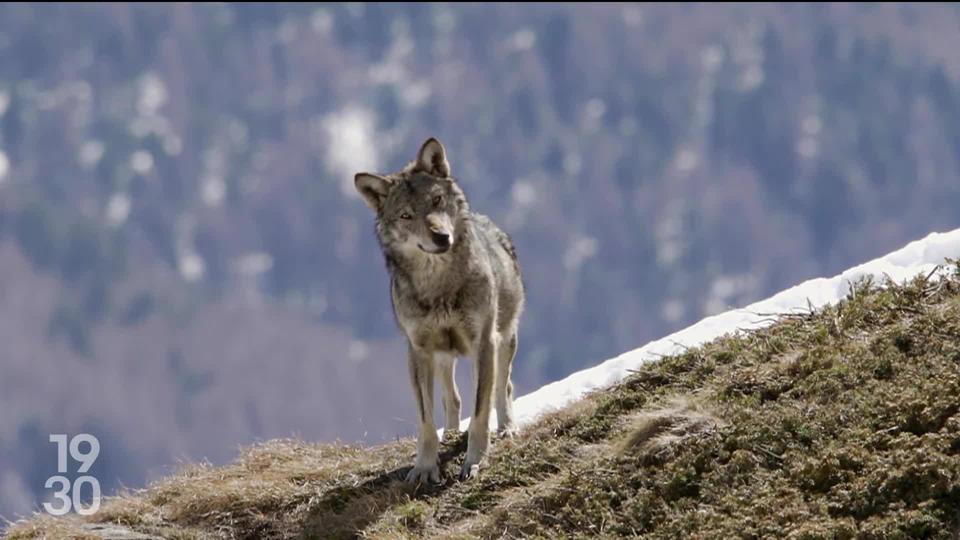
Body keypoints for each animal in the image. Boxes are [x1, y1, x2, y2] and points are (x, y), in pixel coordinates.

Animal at [356, 138, 528, 480]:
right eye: (406, 216)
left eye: (436, 199)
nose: (440, 236)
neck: (440, 288)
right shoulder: (418, 351)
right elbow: (426, 421)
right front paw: (425, 467)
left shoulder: (483, 342)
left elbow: (480, 412)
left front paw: (475, 460)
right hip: (444, 356)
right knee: (454, 398)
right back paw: (450, 432)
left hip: (503, 341)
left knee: (503, 387)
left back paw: (507, 428)